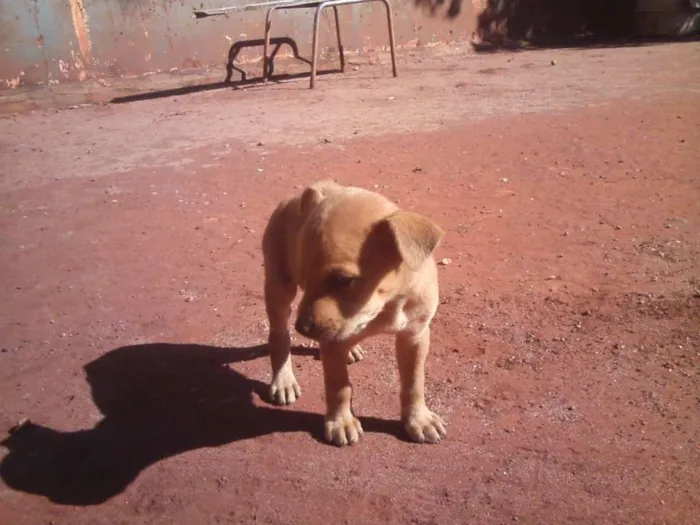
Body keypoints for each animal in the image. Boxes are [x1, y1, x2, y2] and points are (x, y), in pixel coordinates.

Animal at [260, 181, 446, 446]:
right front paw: (341, 422)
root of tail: (294, 198)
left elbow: (414, 383)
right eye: (304, 275)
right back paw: (283, 380)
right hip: (279, 286)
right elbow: (339, 386)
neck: (386, 305)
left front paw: (419, 419)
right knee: (279, 335)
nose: (302, 329)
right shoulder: (332, 342)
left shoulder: (415, 336)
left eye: (343, 280)